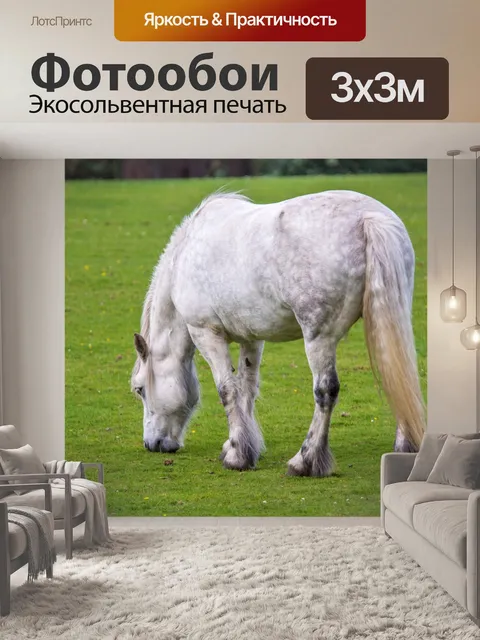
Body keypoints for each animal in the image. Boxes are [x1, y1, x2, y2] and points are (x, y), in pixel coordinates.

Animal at [131, 190, 425, 477]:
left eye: (139, 389)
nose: (152, 444)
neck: (184, 255)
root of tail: (368, 218)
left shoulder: (206, 333)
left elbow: (227, 390)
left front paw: (237, 456)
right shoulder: (251, 339)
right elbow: (247, 388)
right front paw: (243, 447)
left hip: (319, 338)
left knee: (326, 391)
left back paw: (305, 461)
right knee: (398, 373)